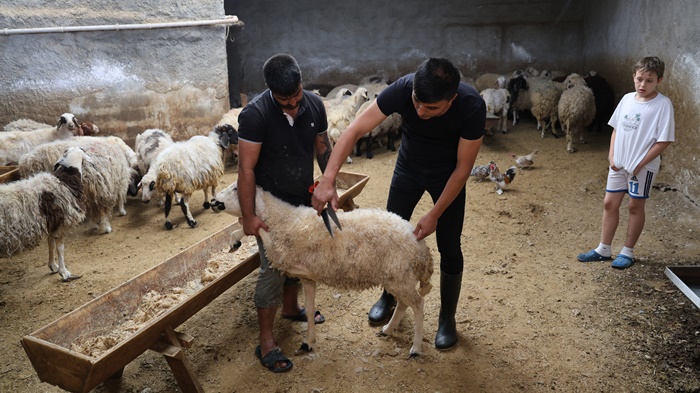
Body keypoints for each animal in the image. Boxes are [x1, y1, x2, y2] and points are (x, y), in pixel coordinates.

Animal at [0, 145, 90, 280]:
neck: (65, 180)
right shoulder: (61, 222)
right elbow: (60, 248)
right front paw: (64, 272)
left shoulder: (51, 223)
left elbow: (50, 243)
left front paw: (53, 266)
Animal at [211, 182, 434, 356]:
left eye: (236, 188)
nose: (212, 202)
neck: (284, 219)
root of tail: (419, 244)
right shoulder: (308, 277)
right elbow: (309, 310)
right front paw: (309, 342)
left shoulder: (281, 251)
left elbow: (260, 231)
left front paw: (243, 231)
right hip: (398, 277)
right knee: (404, 303)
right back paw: (388, 329)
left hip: (399, 275)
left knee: (418, 304)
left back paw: (416, 347)